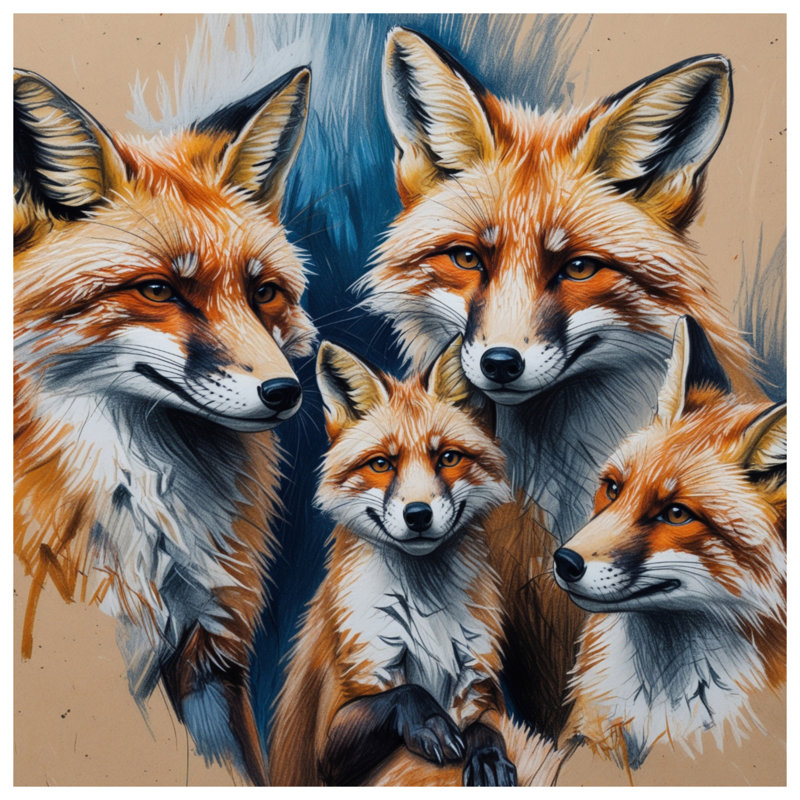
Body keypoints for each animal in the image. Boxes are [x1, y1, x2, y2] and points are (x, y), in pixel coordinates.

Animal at [268, 337, 524, 786]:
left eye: (448, 458)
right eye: (381, 464)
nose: (418, 514)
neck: (427, 617)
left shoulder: (482, 689)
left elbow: (485, 727)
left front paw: (488, 757)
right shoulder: (327, 746)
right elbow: (404, 694)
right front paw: (431, 724)